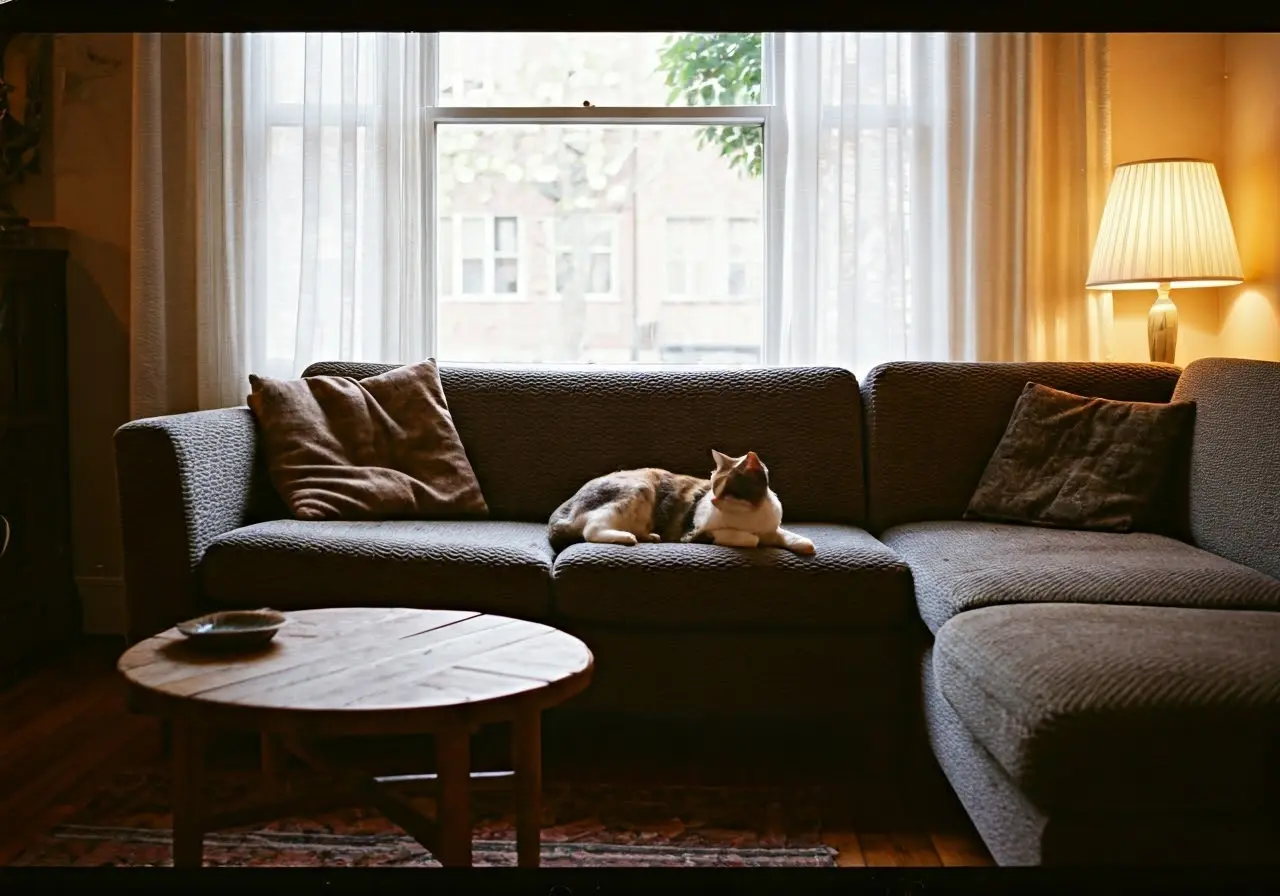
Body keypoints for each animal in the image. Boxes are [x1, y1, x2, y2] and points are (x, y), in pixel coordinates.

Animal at [545, 450, 814, 555]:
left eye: (728, 490)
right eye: (713, 486)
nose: (713, 499)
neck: (752, 515)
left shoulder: (772, 527)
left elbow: (784, 534)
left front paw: (806, 544)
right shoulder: (696, 533)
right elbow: (751, 539)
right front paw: (751, 538)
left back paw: (649, 536)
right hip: (637, 488)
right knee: (592, 529)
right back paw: (626, 538)